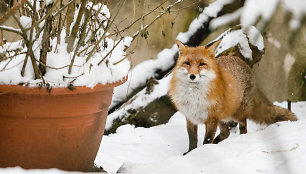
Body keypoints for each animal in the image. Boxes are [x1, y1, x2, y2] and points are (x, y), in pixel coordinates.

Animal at [169, 40, 298, 153]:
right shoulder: (190, 117)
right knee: (226, 133)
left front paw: (203, 151)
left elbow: (207, 139)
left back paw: (239, 139)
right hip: (222, 116)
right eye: (187, 63)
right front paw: (190, 152)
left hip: (237, 113)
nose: (192, 76)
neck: (194, 95)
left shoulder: (211, 118)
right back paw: (217, 143)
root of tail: (243, 63)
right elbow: (192, 139)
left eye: (202, 64)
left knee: (243, 128)